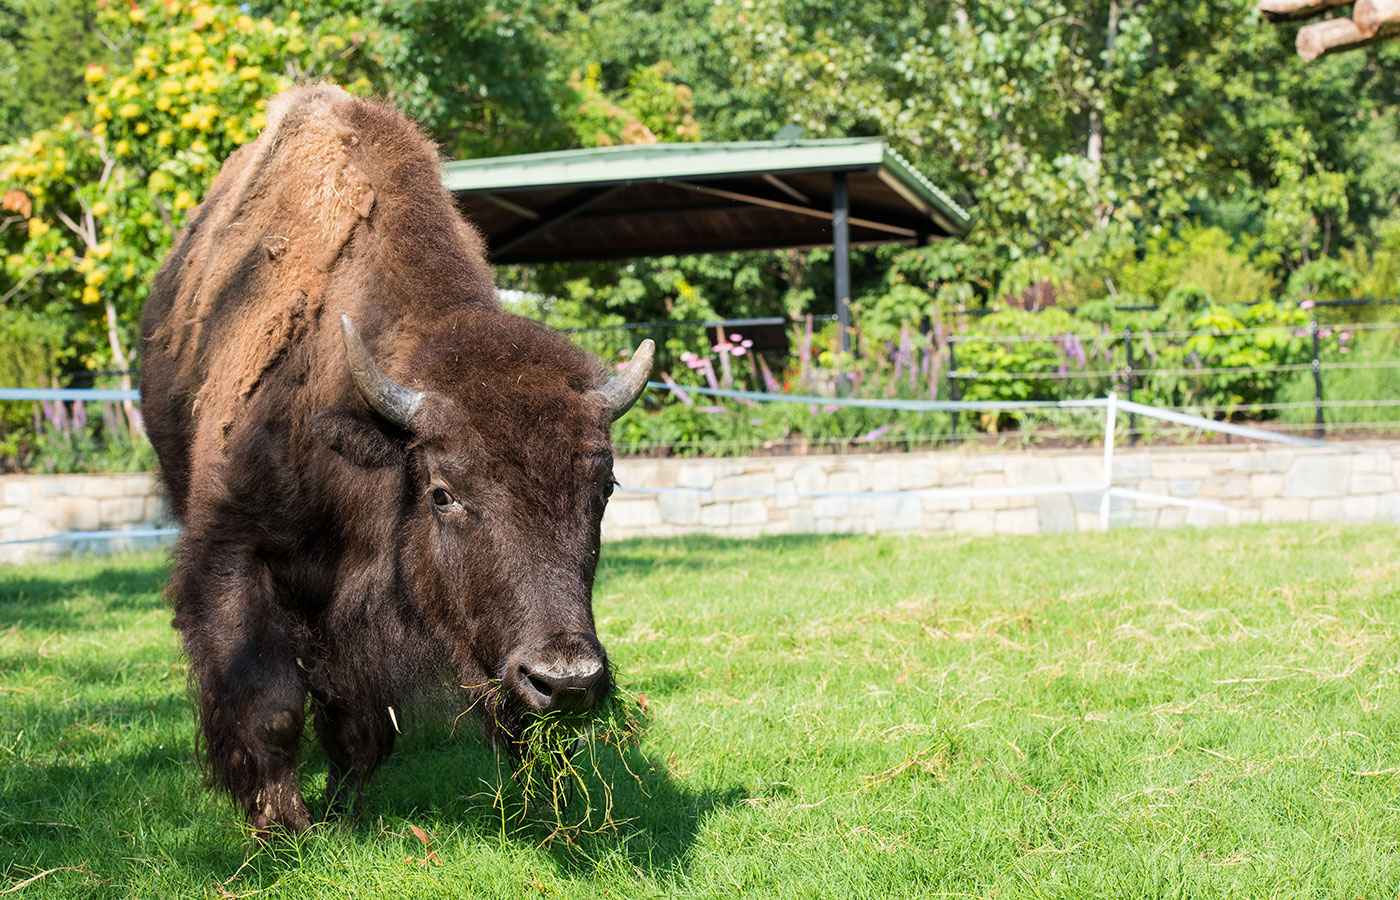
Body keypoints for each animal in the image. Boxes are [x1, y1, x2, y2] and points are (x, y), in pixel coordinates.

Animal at [139, 84, 652, 828]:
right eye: (443, 492)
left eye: (604, 487)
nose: (566, 681)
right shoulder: (236, 552)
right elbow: (270, 705)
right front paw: (283, 824)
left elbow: (361, 721)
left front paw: (344, 806)